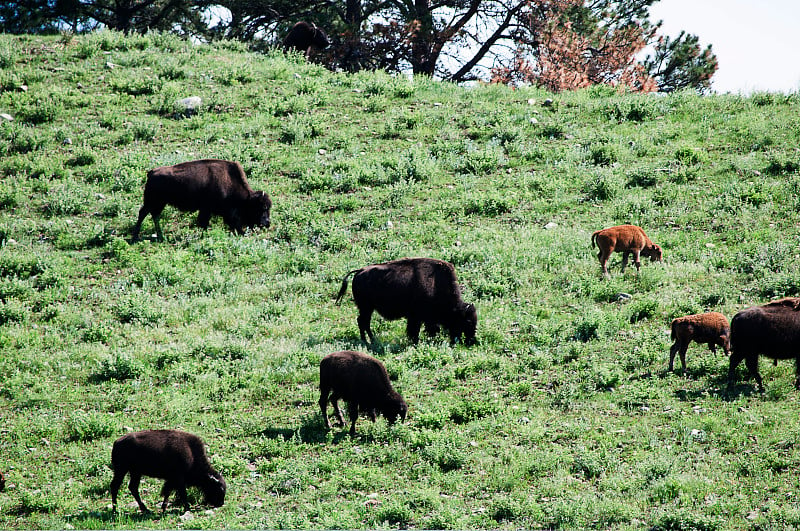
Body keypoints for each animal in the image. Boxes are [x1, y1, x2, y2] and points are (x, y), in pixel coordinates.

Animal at [130, 158, 270, 241]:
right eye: (262, 208)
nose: (267, 223)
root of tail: (152, 172)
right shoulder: (208, 210)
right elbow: (205, 223)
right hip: (153, 202)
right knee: (143, 213)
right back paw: (137, 236)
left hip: (159, 203)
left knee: (154, 215)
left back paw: (160, 236)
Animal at [336, 256, 478, 344]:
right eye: (468, 321)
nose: (472, 341)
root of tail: (359, 271)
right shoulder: (416, 317)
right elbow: (414, 330)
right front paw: (415, 341)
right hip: (366, 307)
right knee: (363, 322)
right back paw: (369, 340)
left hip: (367, 308)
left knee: (363, 322)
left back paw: (370, 340)